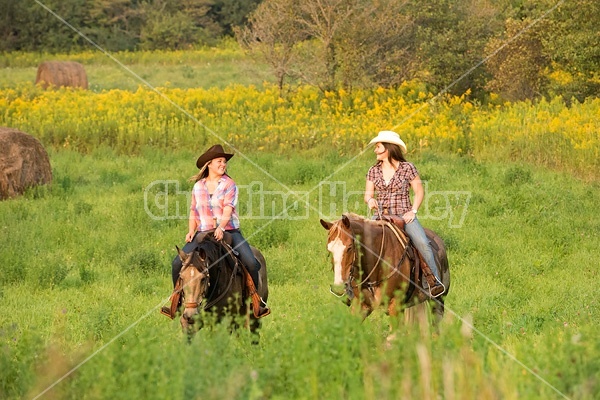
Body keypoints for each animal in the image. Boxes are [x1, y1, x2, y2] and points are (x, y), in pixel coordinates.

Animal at [318, 214, 450, 324]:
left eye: (350, 247)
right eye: (329, 249)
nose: (339, 287)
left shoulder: (395, 306)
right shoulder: (360, 306)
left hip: (438, 301)